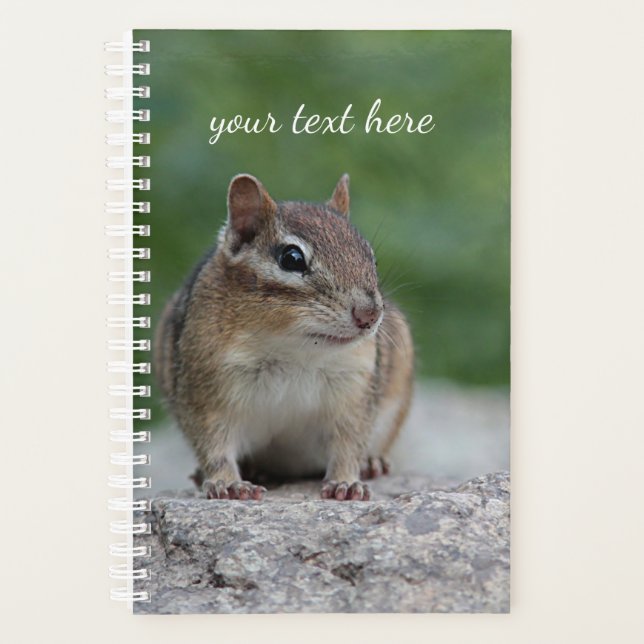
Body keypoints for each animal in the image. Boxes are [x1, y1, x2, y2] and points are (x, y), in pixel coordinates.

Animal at [154, 173, 414, 501]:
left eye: (371, 258)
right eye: (292, 258)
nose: (369, 315)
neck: (293, 350)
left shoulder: (354, 391)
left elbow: (349, 444)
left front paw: (346, 482)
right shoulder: (205, 393)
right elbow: (214, 446)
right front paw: (228, 483)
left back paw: (372, 463)